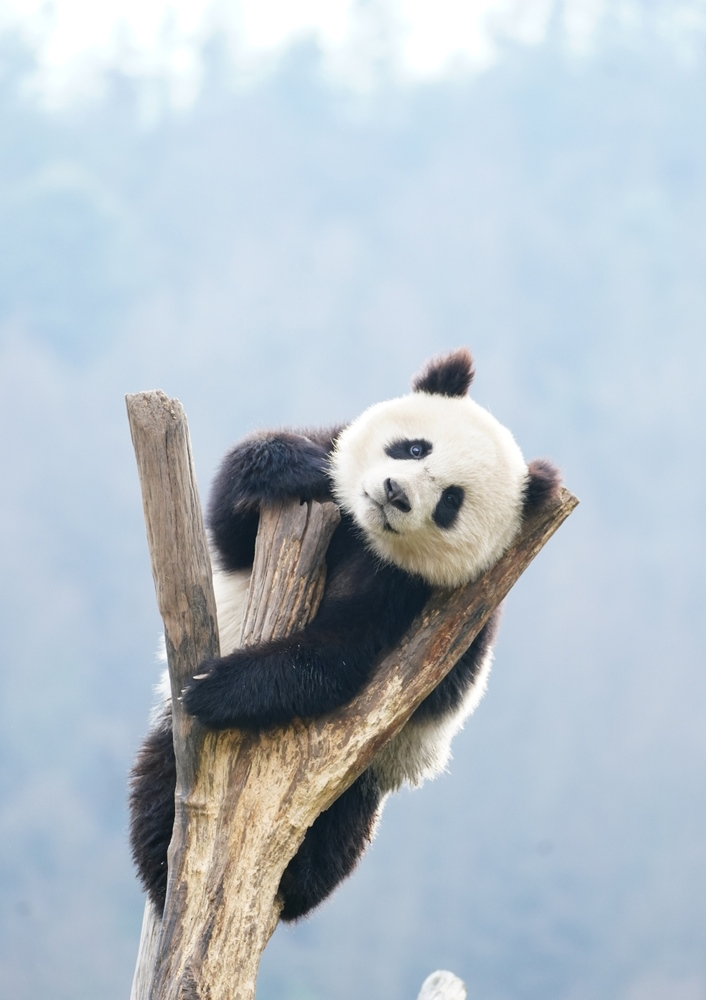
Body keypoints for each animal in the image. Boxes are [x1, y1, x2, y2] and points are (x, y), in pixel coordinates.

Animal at [129, 347, 560, 922]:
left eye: (451, 501)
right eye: (414, 447)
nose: (396, 494)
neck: (365, 535)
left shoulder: (412, 596)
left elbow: (339, 655)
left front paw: (217, 686)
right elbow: (232, 521)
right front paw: (293, 466)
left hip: (372, 767)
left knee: (337, 831)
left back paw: (295, 881)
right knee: (161, 783)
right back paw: (163, 863)